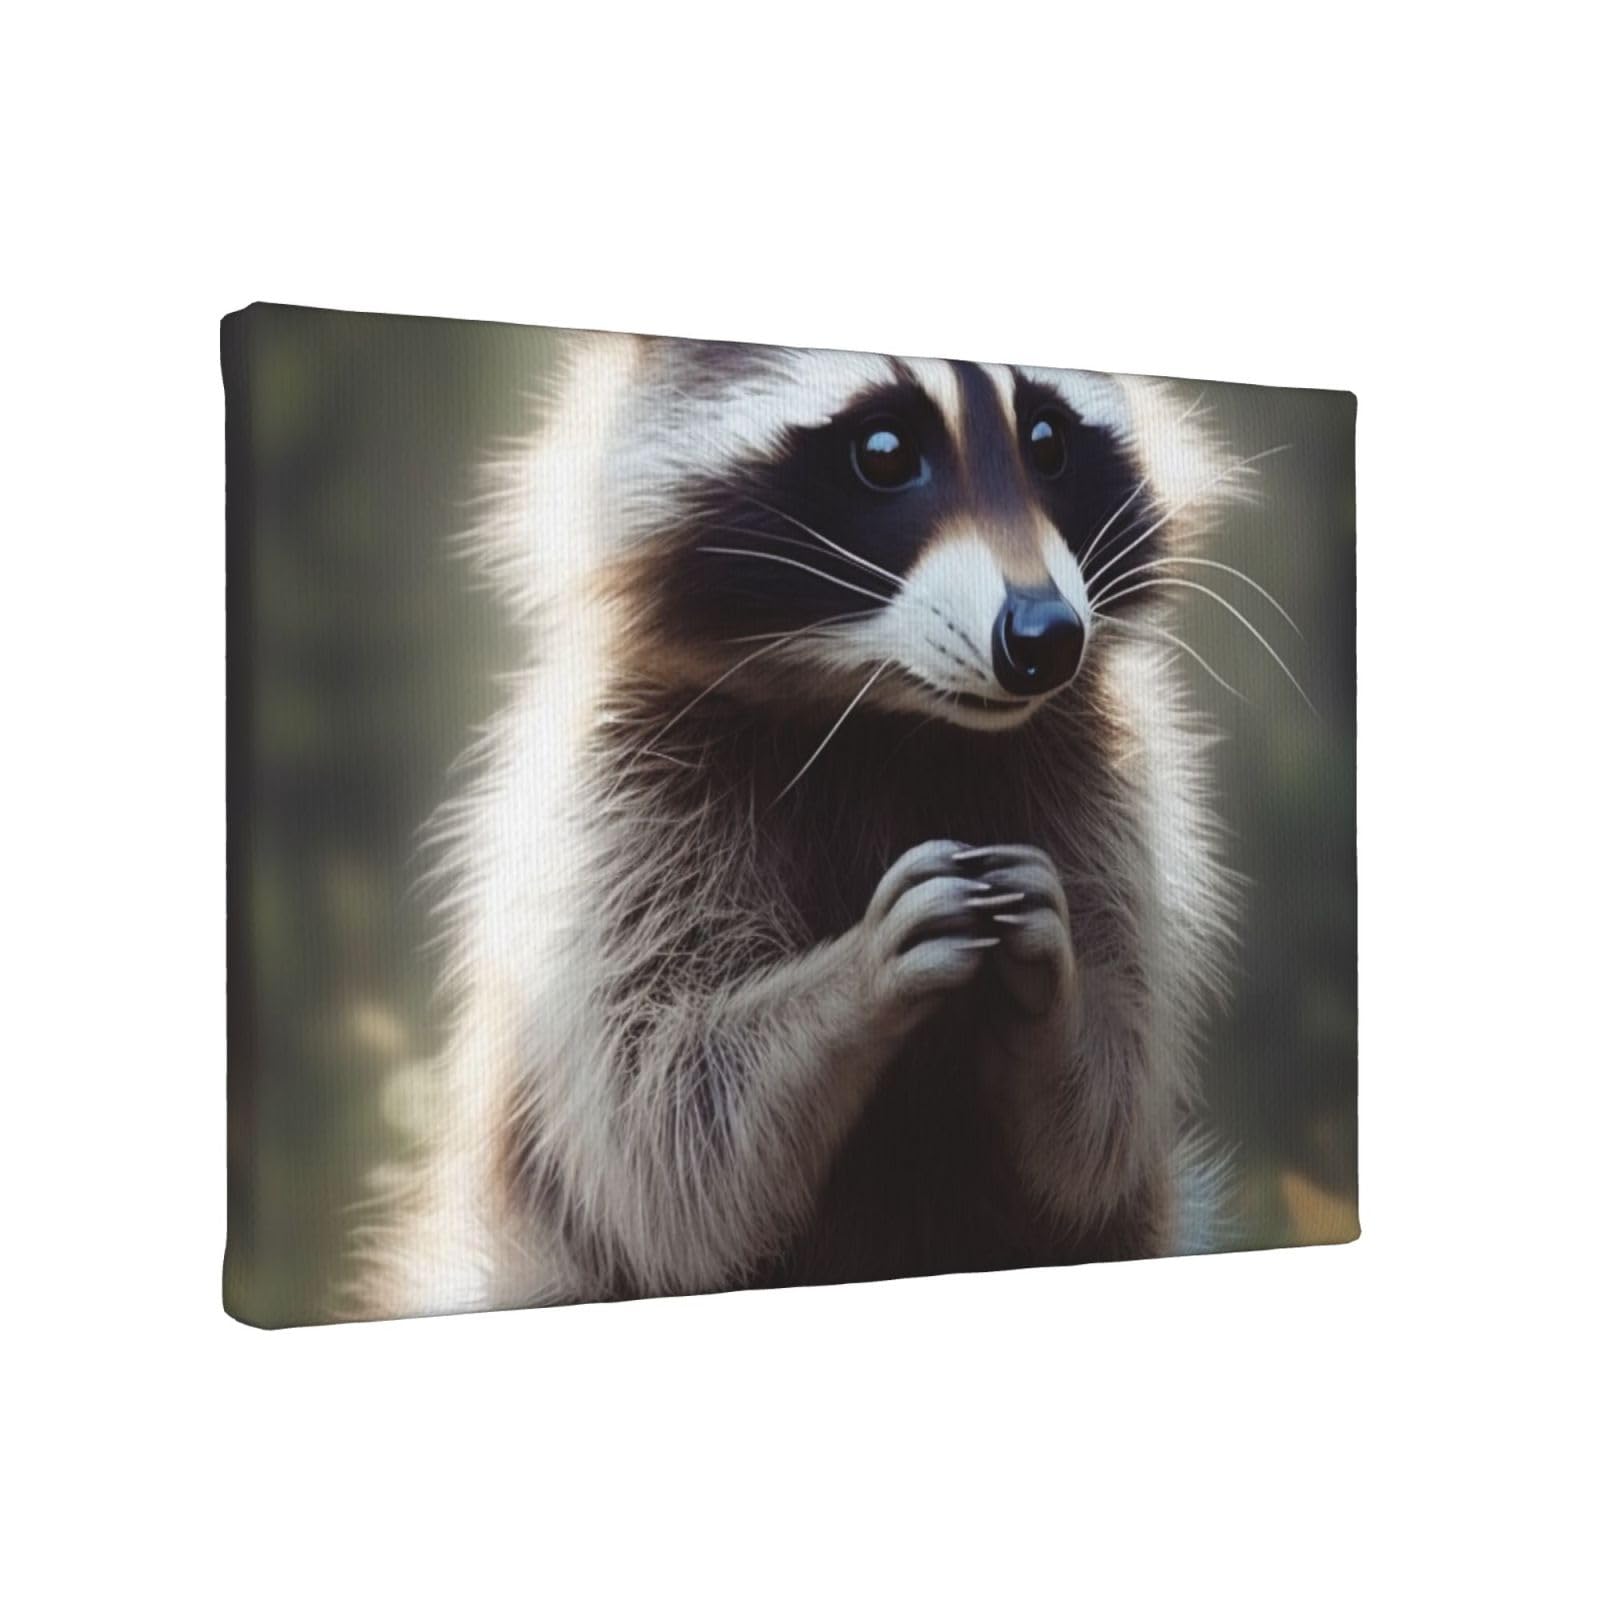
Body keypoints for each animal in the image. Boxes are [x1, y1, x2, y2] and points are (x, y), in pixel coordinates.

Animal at [359, 334, 1247, 1317]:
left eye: (1048, 440)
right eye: (884, 451)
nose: (1047, 637)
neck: (889, 717)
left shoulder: (1109, 781)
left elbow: (1102, 1124)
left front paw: (1052, 991)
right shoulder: (616, 795)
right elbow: (667, 1135)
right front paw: (857, 980)